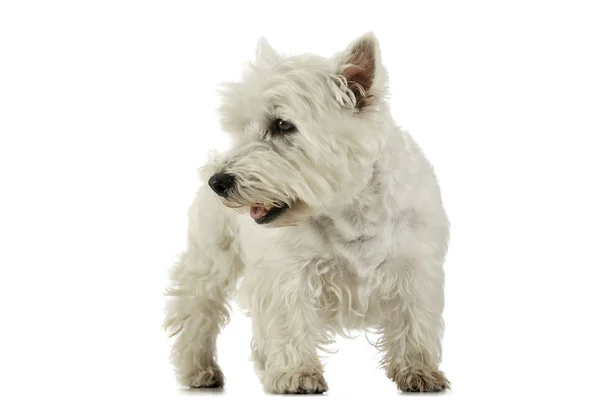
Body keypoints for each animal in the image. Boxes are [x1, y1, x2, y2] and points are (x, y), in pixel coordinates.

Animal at [164, 30, 450, 394]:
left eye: (282, 125)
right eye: (242, 127)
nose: (218, 182)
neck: (350, 213)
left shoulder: (415, 268)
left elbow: (414, 322)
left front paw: (419, 372)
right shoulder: (287, 272)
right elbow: (289, 320)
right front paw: (297, 374)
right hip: (212, 257)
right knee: (197, 308)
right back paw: (200, 371)